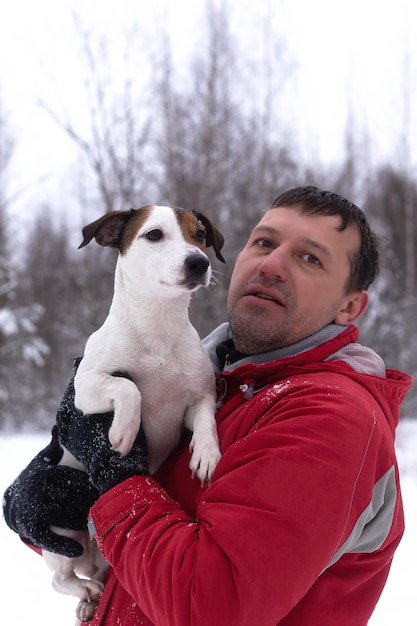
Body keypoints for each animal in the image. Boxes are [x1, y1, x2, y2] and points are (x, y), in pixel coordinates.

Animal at [42, 204, 224, 620]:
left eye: (200, 234)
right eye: (153, 234)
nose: (199, 262)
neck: (158, 331)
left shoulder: (195, 398)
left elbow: (205, 415)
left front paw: (206, 453)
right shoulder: (86, 387)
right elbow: (130, 388)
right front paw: (124, 431)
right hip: (61, 535)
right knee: (61, 578)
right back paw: (87, 592)